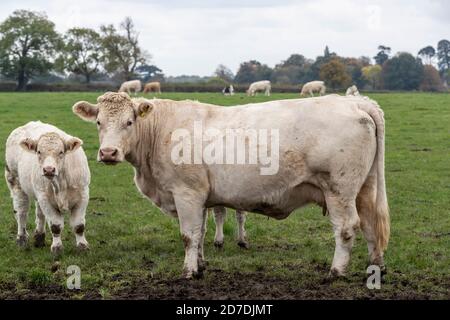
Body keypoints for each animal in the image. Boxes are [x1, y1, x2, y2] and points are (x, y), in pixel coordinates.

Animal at [4, 121, 89, 254]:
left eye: (61, 152)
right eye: (39, 152)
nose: (48, 169)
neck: (61, 183)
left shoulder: (83, 196)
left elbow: (79, 226)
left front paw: (82, 246)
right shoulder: (46, 200)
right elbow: (56, 226)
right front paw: (57, 248)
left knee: (39, 214)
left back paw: (39, 238)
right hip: (15, 180)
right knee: (21, 211)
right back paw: (22, 239)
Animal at [74, 92, 390, 280]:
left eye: (129, 122)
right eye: (99, 122)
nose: (108, 153)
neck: (160, 132)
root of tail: (355, 101)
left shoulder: (186, 193)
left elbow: (188, 235)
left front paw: (188, 270)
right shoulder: (200, 197)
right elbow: (200, 234)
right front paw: (200, 265)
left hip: (339, 189)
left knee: (347, 227)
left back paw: (336, 270)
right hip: (364, 188)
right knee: (370, 224)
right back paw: (375, 266)